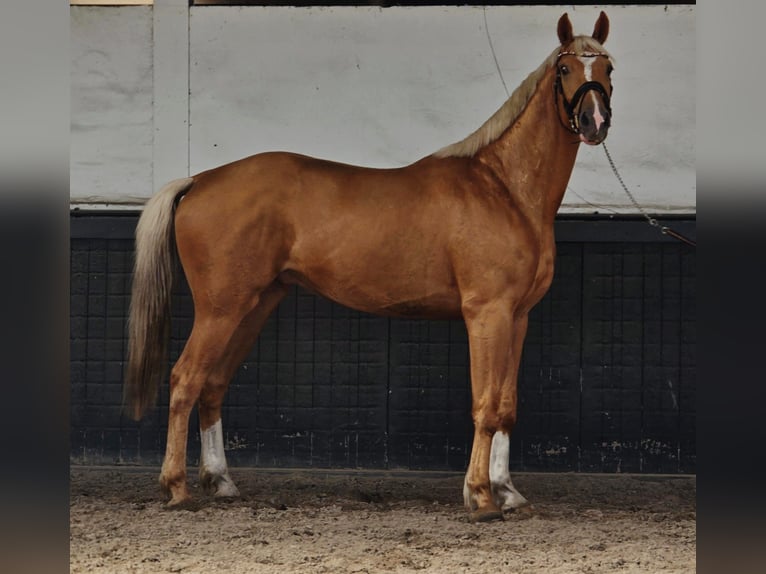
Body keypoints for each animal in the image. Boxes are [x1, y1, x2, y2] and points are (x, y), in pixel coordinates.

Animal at [126, 11, 614, 523]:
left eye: (608, 68)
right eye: (565, 69)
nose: (595, 121)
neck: (503, 188)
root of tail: (199, 181)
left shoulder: (517, 318)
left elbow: (505, 405)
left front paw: (506, 490)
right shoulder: (487, 313)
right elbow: (485, 405)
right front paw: (480, 496)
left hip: (253, 306)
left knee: (213, 384)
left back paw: (220, 481)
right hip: (221, 310)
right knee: (185, 380)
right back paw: (176, 487)